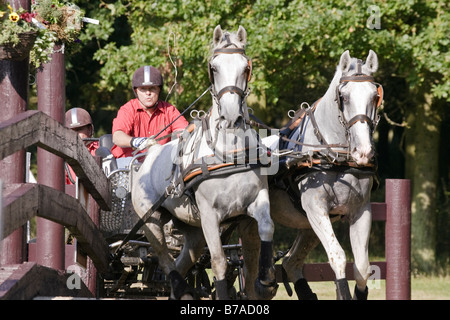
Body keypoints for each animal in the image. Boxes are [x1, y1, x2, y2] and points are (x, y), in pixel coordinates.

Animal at [130, 25, 278, 300]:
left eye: (245, 67)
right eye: (214, 67)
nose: (231, 116)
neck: (229, 154)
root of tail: (149, 154)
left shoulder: (257, 200)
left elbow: (267, 229)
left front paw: (266, 280)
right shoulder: (210, 214)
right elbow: (219, 261)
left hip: (192, 230)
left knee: (182, 262)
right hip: (151, 221)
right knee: (166, 261)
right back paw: (183, 289)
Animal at [268, 50, 384, 300]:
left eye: (375, 96)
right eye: (344, 97)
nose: (363, 152)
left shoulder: (361, 210)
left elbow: (361, 268)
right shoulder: (315, 207)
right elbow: (338, 256)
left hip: (306, 226)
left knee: (291, 262)